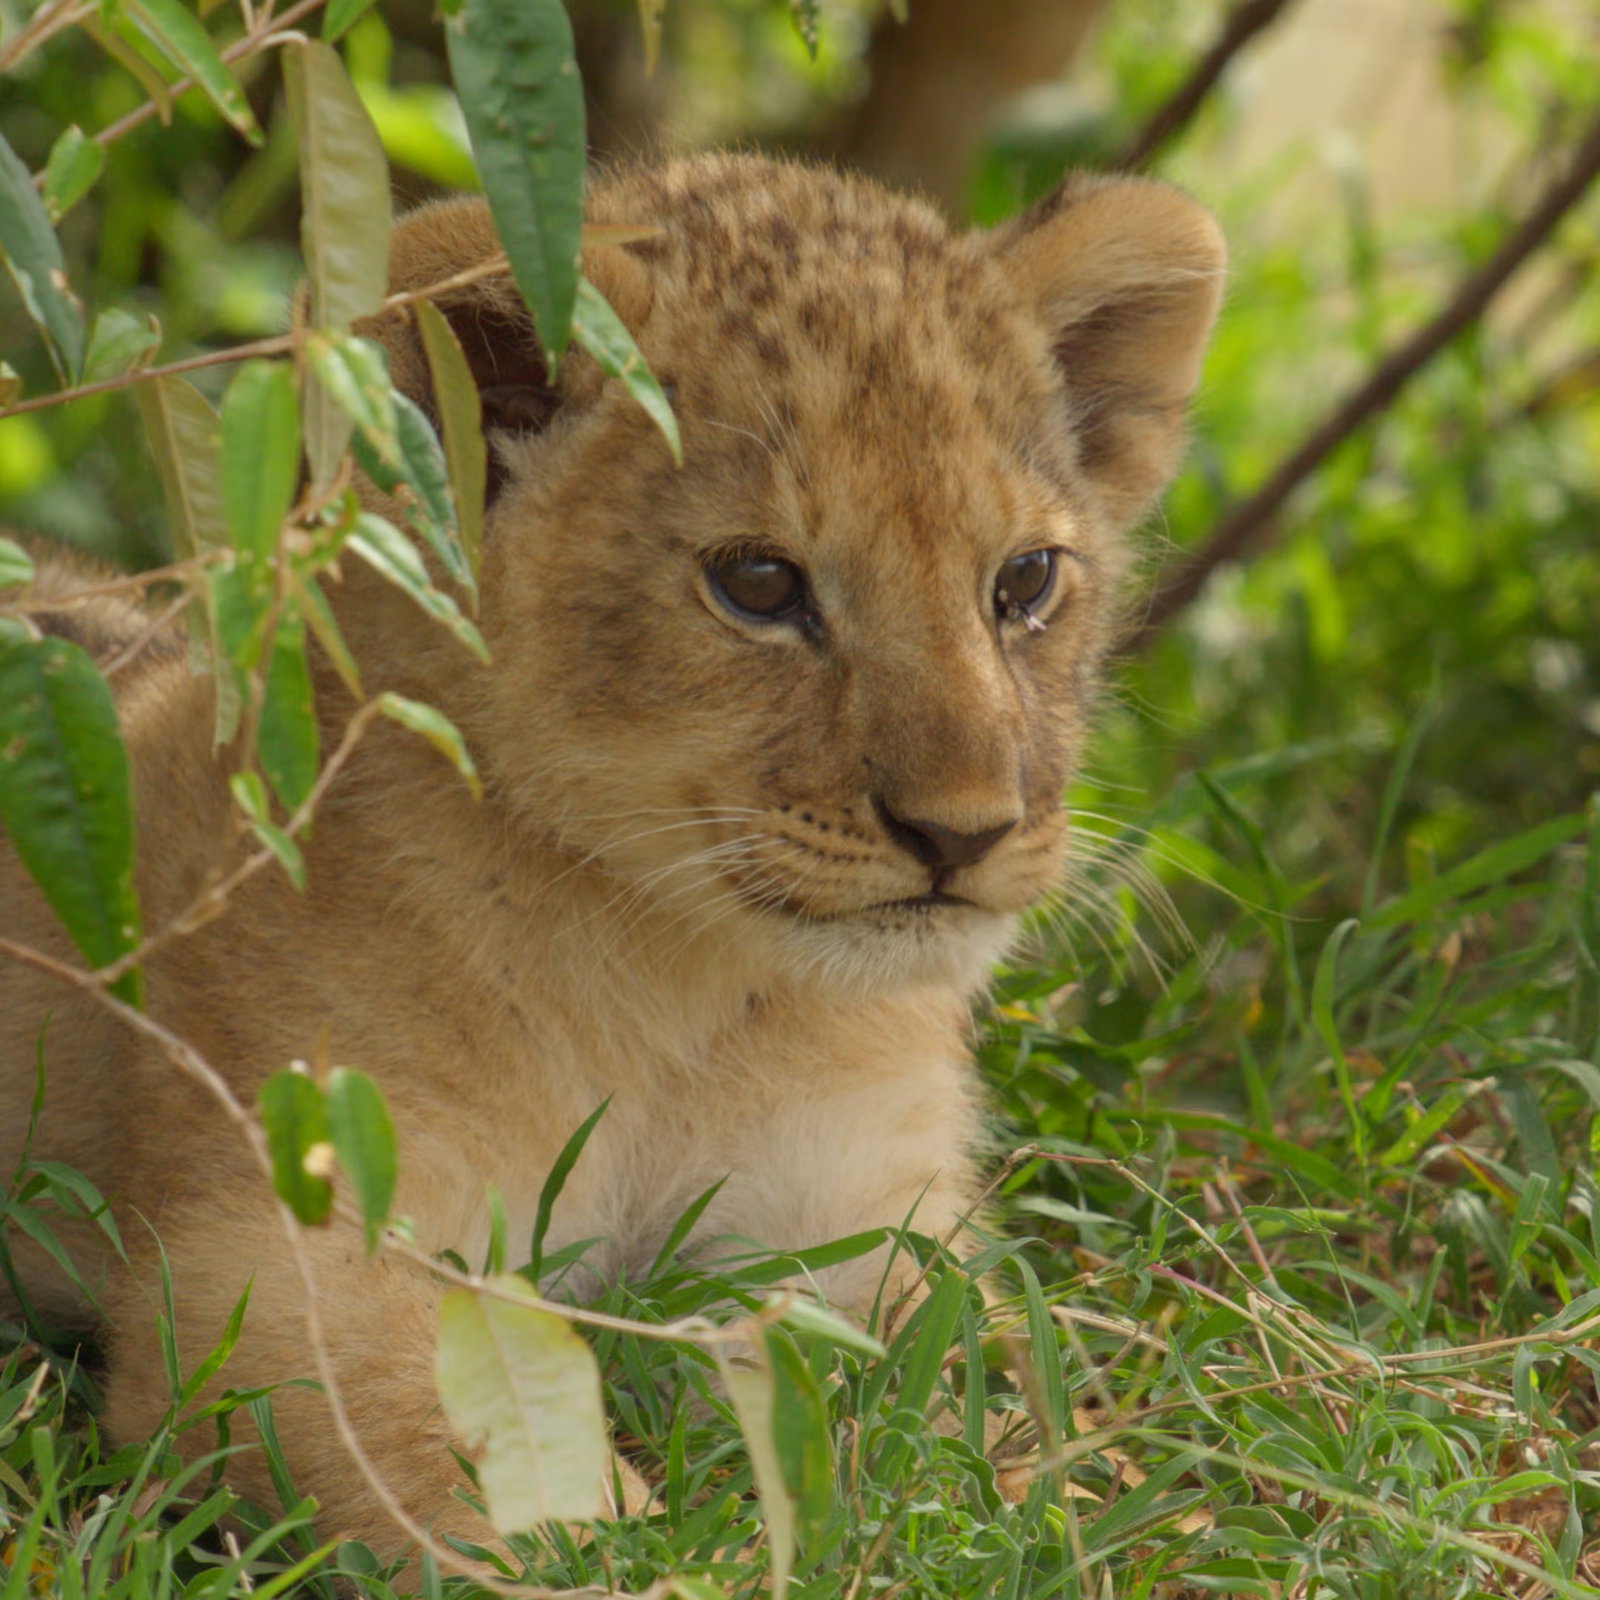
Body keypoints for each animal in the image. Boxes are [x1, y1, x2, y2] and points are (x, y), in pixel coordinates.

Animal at [0, 154, 1224, 1559]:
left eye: (1023, 581)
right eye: (759, 584)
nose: (961, 832)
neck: (683, 980)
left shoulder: (863, 1232)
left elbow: (1034, 1432)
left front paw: (1134, 1525)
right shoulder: (267, 1260)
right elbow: (504, 1488)